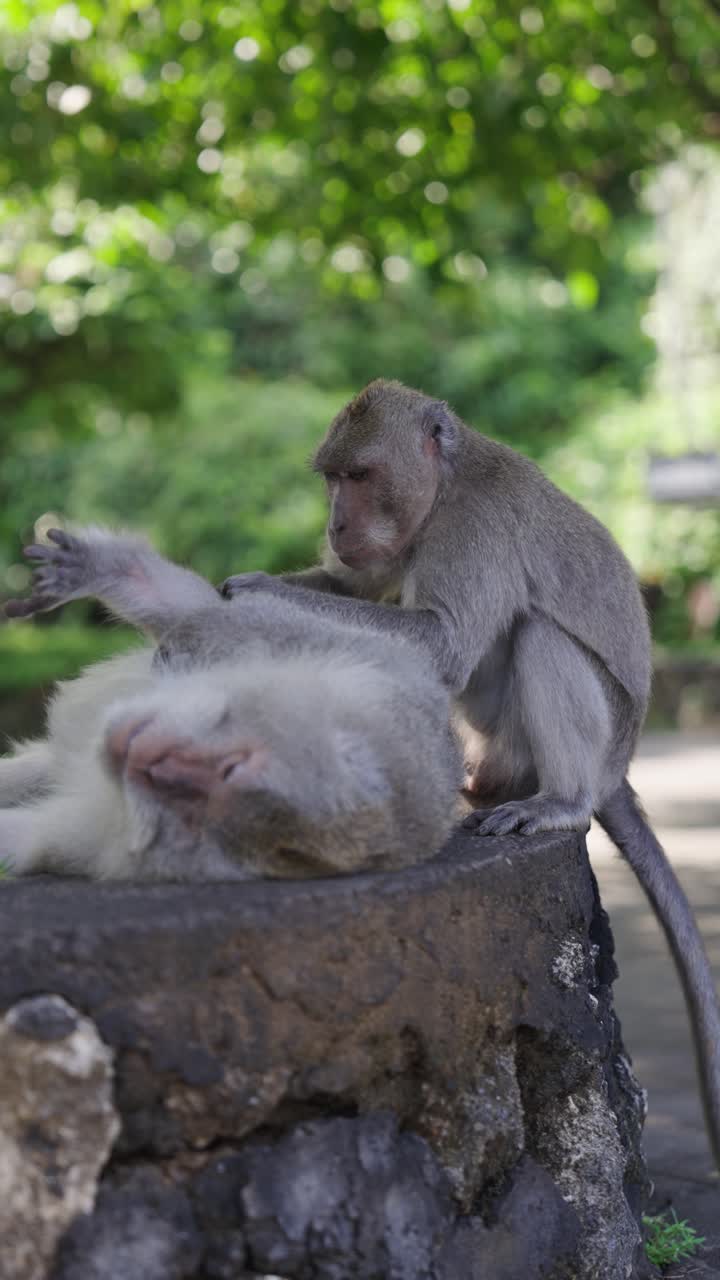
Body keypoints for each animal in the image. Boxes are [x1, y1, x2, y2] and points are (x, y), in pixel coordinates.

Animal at [0, 525, 461, 882]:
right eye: (232, 767)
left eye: (192, 817)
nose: (142, 761)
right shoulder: (359, 657)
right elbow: (204, 611)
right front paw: (102, 568)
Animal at [221, 377, 720, 1170]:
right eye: (331, 478)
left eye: (359, 475)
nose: (335, 522)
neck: (443, 488)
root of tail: (618, 769)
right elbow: (351, 589)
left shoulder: (472, 529)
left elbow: (443, 639)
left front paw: (251, 596)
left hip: (583, 741)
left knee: (539, 637)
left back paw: (559, 802)